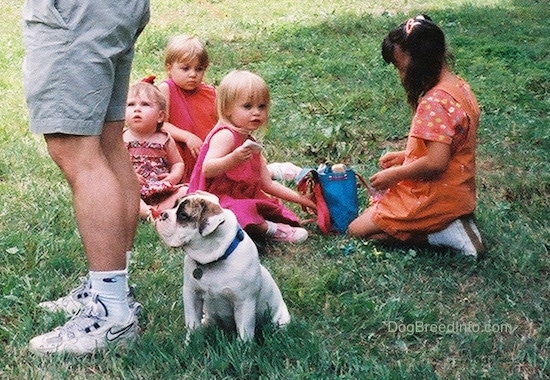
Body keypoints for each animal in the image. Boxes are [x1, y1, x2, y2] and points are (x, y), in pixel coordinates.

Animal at [154, 190, 292, 342]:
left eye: (183, 215)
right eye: (174, 205)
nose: (162, 214)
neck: (212, 258)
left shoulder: (244, 303)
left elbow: (244, 331)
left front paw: (242, 347)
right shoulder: (191, 295)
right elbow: (192, 323)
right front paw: (190, 342)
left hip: (281, 319)